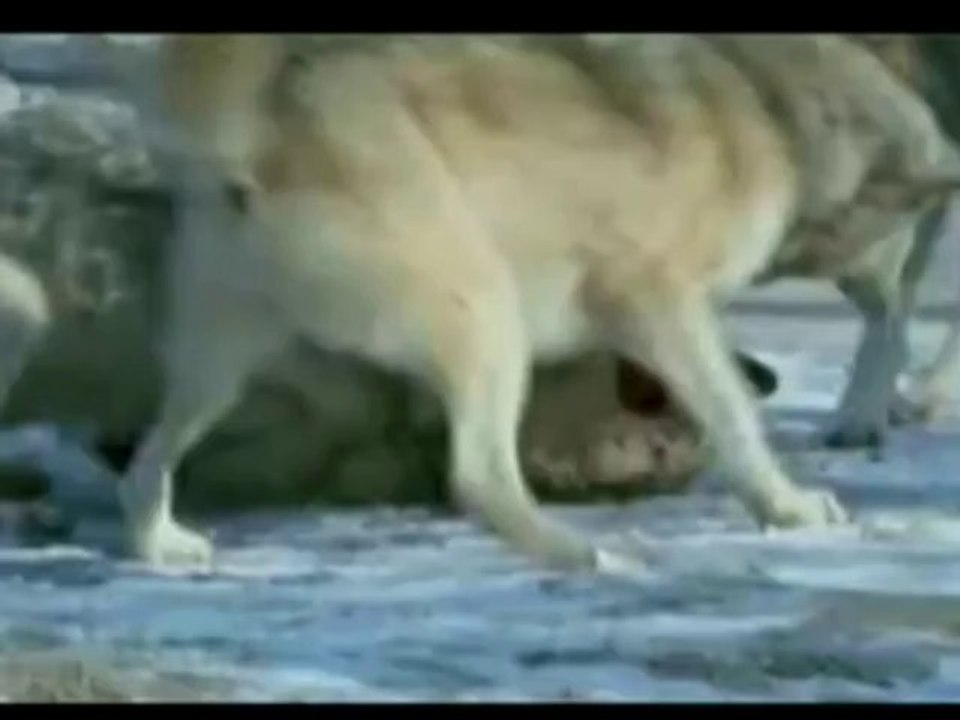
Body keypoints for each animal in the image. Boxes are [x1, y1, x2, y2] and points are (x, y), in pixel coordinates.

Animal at [117, 34, 960, 572]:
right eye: (906, 212)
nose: (893, 292)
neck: (766, 106)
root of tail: (260, 127)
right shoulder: (658, 303)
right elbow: (735, 418)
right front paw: (788, 507)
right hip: (490, 323)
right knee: (477, 480)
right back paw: (588, 555)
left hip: (217, 373)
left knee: (144, 467)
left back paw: (160, 546)